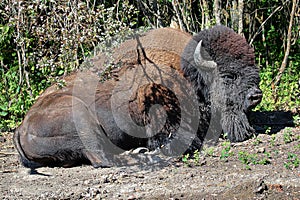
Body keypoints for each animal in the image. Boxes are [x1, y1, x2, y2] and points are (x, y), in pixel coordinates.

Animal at [12, 25, 262, 169]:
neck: (188, 73)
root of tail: (21, 128)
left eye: (253, 69)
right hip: (81, 118)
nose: (256, 95)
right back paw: (143, 155)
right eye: (228, 75)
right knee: (102, 158)